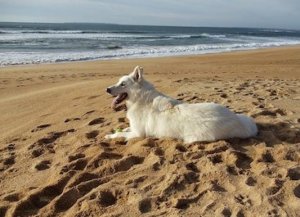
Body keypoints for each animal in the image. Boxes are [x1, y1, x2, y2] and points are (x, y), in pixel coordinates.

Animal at [104, 66, 256, 144]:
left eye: (122, 84)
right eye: (118, 82)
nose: (107, 89)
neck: (140, 98)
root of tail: (237, 120)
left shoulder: (138, 133)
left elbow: (120, 134)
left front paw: (110, 136)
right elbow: (124, 129)